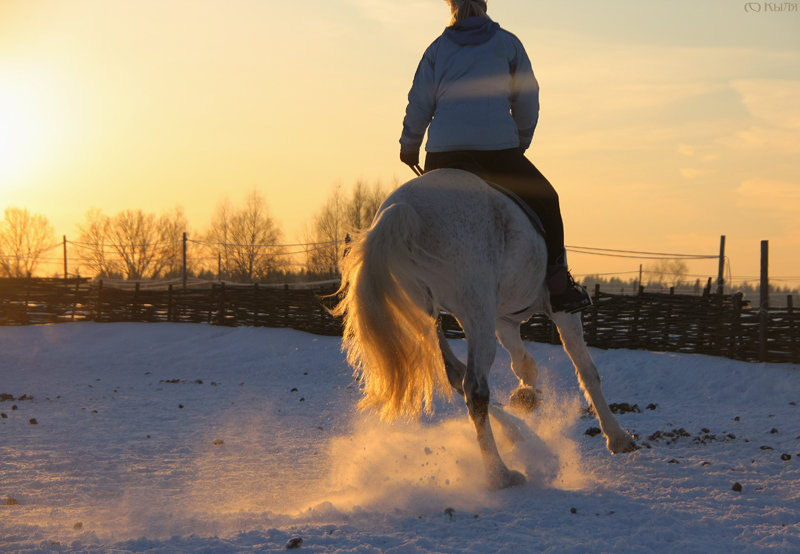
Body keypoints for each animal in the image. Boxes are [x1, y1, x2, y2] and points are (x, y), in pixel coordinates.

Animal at [332, 168, 636, 488]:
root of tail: (401, 210)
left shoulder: (504, 320)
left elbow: (524, 363)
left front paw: (526, 397)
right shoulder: (560, 311)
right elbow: (587, 370)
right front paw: (618, 438)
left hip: (432, 316)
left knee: (457, 376)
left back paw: (517, 434)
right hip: (476, 312)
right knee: (475, 387)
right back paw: (500, 473)